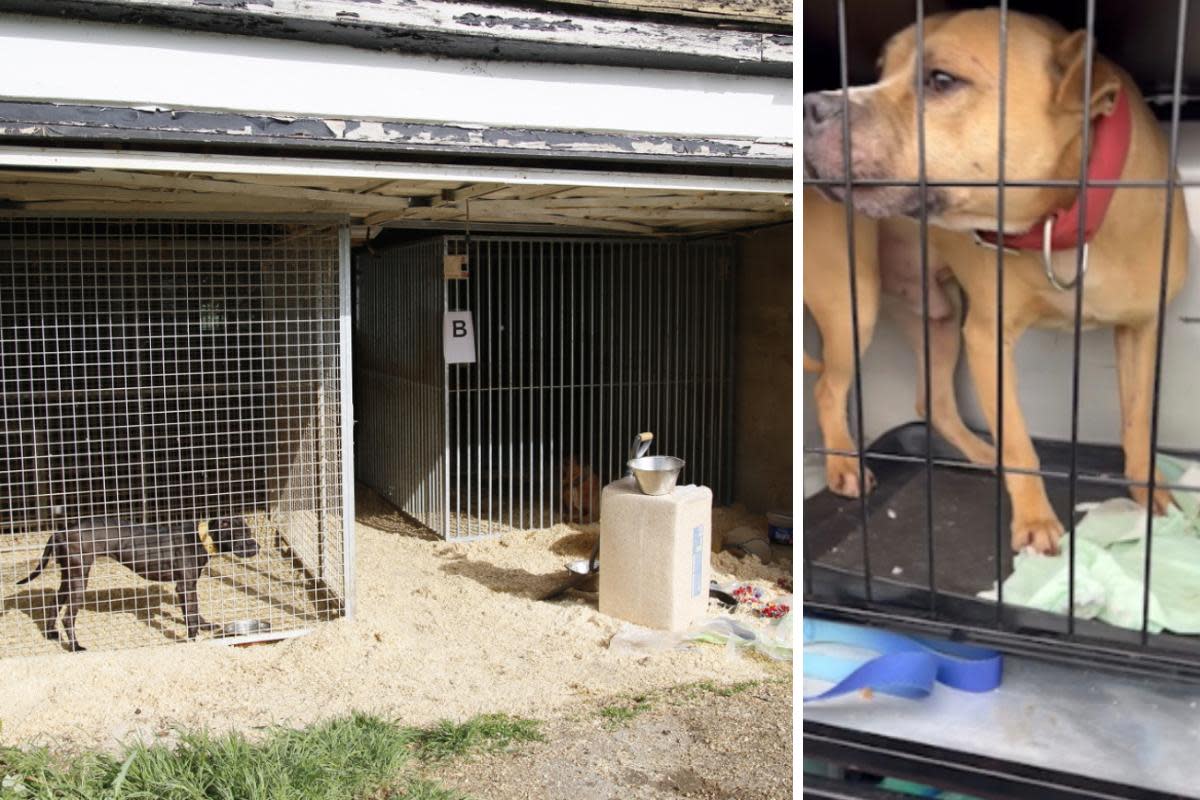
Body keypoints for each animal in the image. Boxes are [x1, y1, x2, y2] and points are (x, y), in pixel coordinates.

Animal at [16, 520, 261, 652]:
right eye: (239, 534)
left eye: (249, 531)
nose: (257, 547)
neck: (200, 538)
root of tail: (61, 532)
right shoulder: (185, 586)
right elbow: (190, 615)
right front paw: (192, 638)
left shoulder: (187, 586)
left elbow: (193, 612)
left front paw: (204, 626)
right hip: (79, 580)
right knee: (68, 617)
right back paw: (76, 647)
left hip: (69, 577)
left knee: (53, 603)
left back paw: (51, 633)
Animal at [801, 7, 1185, 556]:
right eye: (881, 70)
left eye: (941, 80)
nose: (812, 105)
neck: (1063, 221)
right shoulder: (988, 340)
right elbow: (1021, 442)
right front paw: (1035, 521)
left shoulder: (1140, 329)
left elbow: (1136, 422)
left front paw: (1150, 491)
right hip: (853, 305)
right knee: (829, 389)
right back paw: (843, 465)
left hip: (936, 316)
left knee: (934, 402)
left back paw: (981, 454)